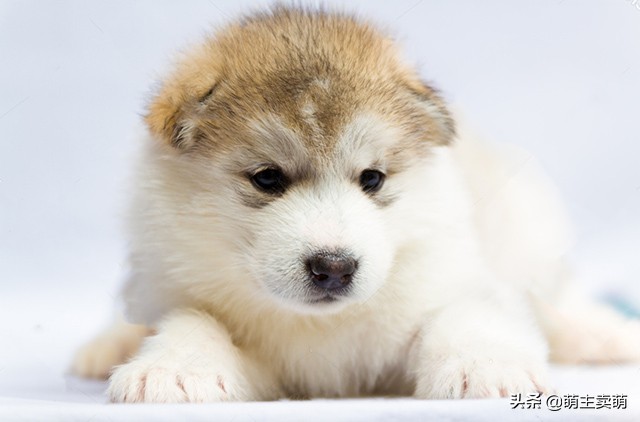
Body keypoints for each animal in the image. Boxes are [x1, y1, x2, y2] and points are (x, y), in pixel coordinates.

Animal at [71, 7, 640, 402]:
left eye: (372, 178)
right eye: (267, 178)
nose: (333, 267)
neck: (323, 328)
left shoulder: (454, 279)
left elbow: (464, 315)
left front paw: (483, 365)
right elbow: (194, 322)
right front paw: (175, 367)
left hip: (529, 226)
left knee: (555, 298)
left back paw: (603, 334)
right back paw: (107, 344)